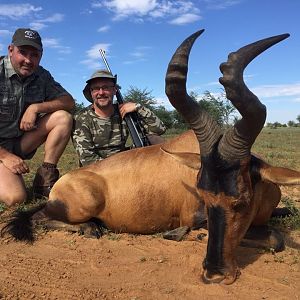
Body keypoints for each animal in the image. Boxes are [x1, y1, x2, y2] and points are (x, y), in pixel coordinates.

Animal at [1, 28, 298, 286]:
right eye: (204, 195)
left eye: (242, 202)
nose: (214, 275)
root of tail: (60, 187)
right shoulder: (194, 215)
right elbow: (274, 238)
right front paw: (186, 234)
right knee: (38, 218)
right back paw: (90, 228)